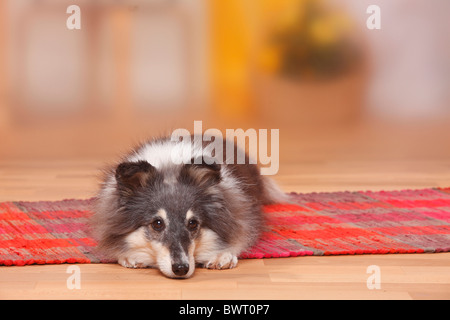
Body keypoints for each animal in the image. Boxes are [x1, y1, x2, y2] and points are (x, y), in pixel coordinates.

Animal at [92, 135, 286, 278]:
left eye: (193, 223)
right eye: (157, 223)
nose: (181, 269)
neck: (169, 166)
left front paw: (221, 256)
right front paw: (130, 257)